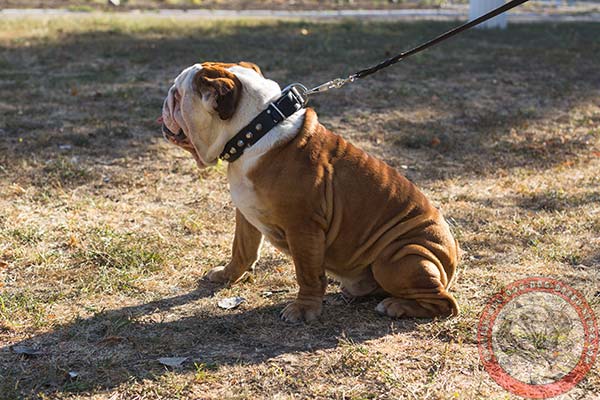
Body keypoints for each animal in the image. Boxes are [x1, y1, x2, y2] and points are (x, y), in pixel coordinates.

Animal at [161, 63, 460, 324]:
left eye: (177, 94)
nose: (165, 100)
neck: (255, 130)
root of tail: (452, 258)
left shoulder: (303, 227)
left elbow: (307, 273)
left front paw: (304, 309)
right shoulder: (246, 214)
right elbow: (242, 250)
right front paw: (226, 276)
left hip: (399, 257)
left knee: (446, 303)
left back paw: (396, 306)